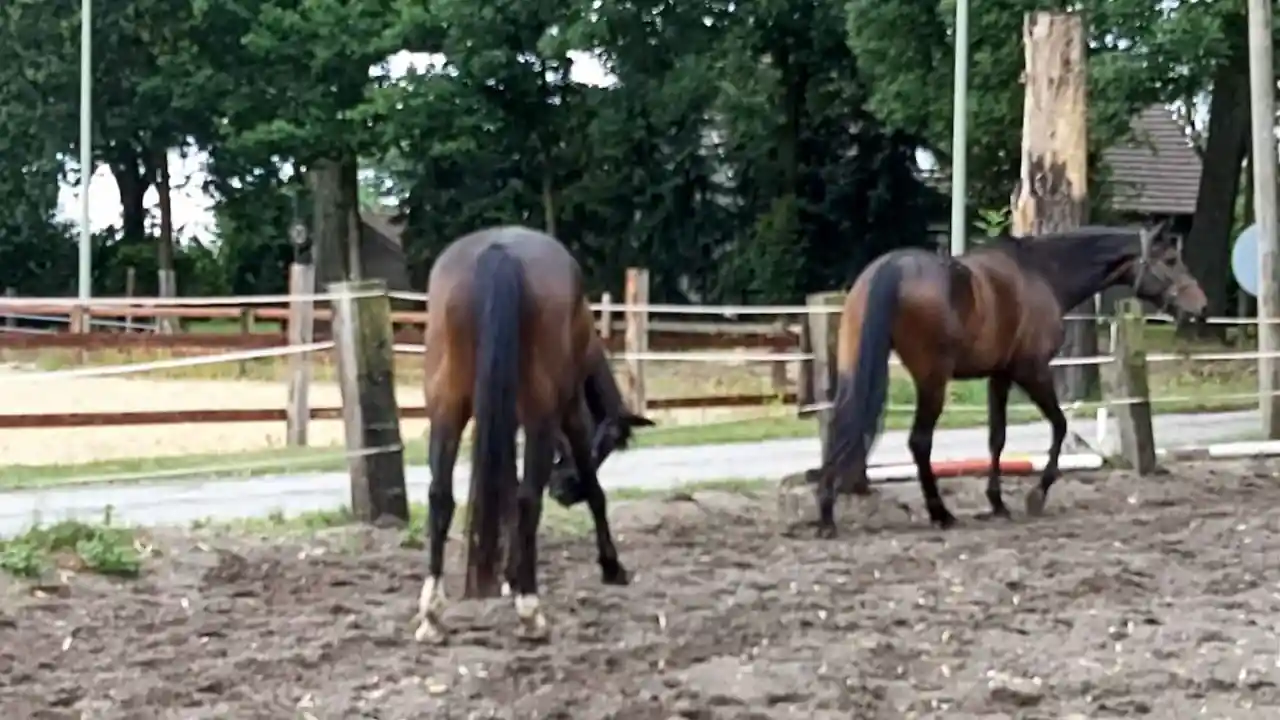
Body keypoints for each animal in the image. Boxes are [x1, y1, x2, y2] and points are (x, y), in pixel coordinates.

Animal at [414, 225, 641, 643]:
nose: (564, 492)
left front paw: (507, 575)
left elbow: (501, 490)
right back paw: (530, 611)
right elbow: (595, 492)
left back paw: (432, 615)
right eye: (605, 448)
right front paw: (610, 565)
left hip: (446, 408)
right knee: (527, 500)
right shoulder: (572, 415)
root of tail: (499, 251)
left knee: (440, 497)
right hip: (540, 415)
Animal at [811, 223, 1208, 538]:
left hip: (856, 370)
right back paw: (940, 513)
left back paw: (827, 513)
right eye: (1170, 260)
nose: (1200, 307)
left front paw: (997, 502)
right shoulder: (1032, 371)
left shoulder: (999, 376)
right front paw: (1036, 494)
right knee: (919, 442)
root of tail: (891, 268)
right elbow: (1060, 425)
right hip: (933, 381)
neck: (1042, 273)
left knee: (841, 427)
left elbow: (997, 438)